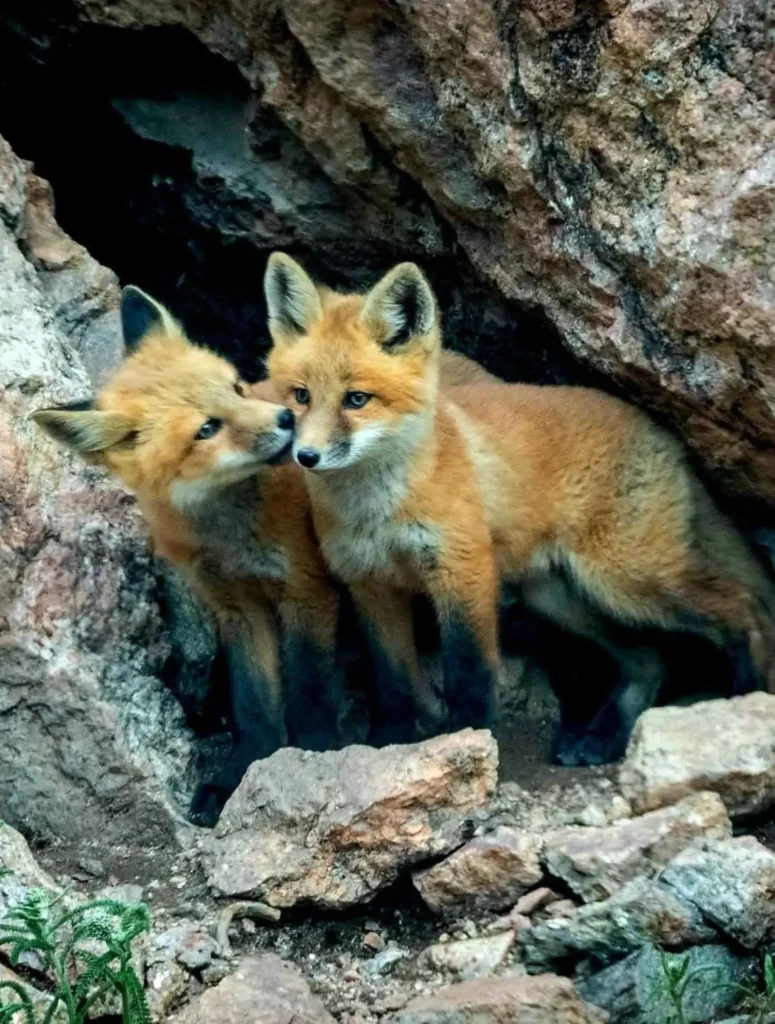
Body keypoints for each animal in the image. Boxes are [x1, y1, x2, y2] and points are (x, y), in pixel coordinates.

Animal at [263, 252, 775, 763]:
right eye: (301, 395)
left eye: (356, 399)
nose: (306, 456)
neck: (378, 511)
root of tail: (662, 429)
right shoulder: (369, 584)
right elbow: (390, 681)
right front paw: (388, 739)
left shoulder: (462, 569)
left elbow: (468, 669)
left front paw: (466, 738)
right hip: (561, 598)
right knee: (651, 659)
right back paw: (601, 739)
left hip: (627, 578)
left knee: (743, 607)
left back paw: (747, 692)